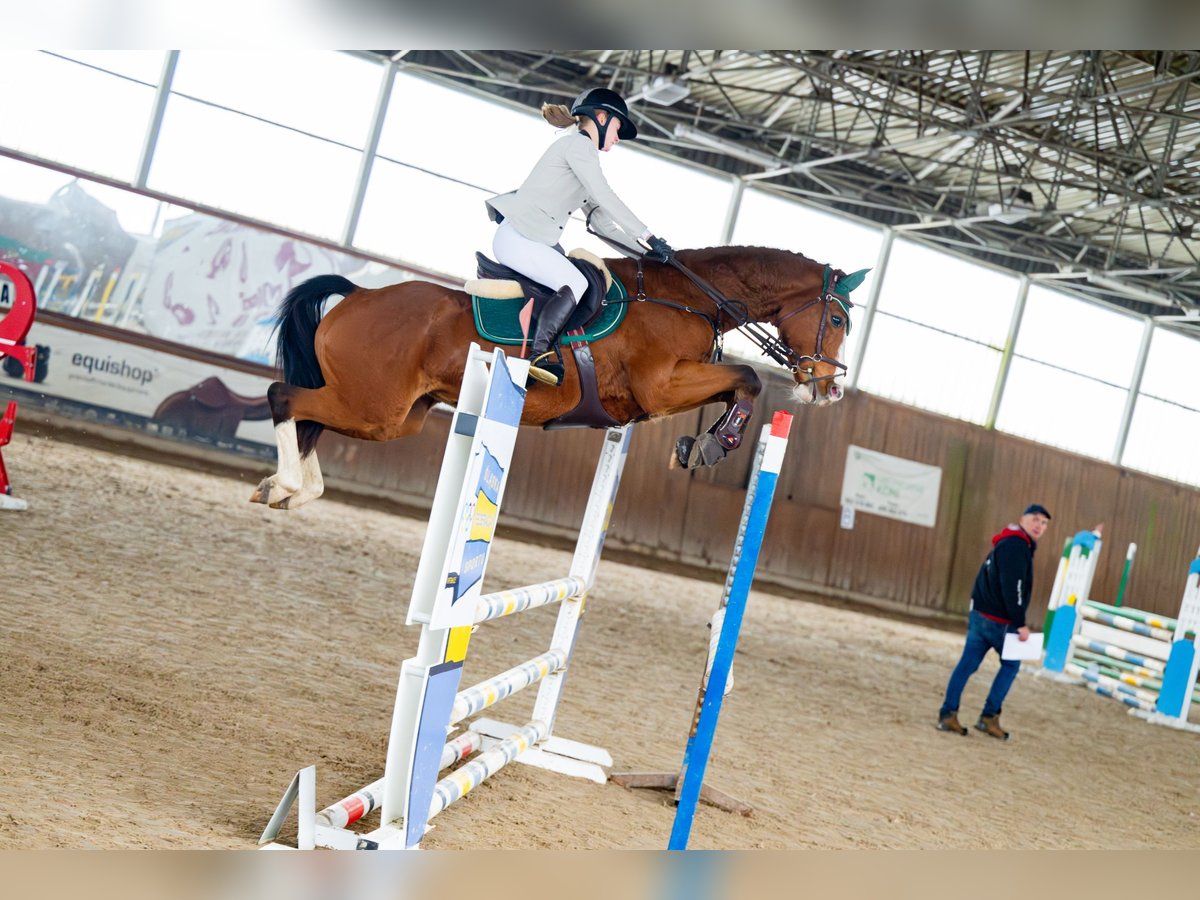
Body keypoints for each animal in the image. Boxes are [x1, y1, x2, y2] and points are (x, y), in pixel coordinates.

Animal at [248, 247, 859, 511]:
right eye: (836, 320)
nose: (829, 389)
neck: (683, 297)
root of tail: (361, 295)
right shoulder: (661, 385)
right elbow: (748, 376)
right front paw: (715, 443)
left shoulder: (664, 392)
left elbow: (738, 382)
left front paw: (702, 443)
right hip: (375, 407)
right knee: (284, 397)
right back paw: (287, 483)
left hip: (393, 416)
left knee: (307, 416)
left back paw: (288, 488)